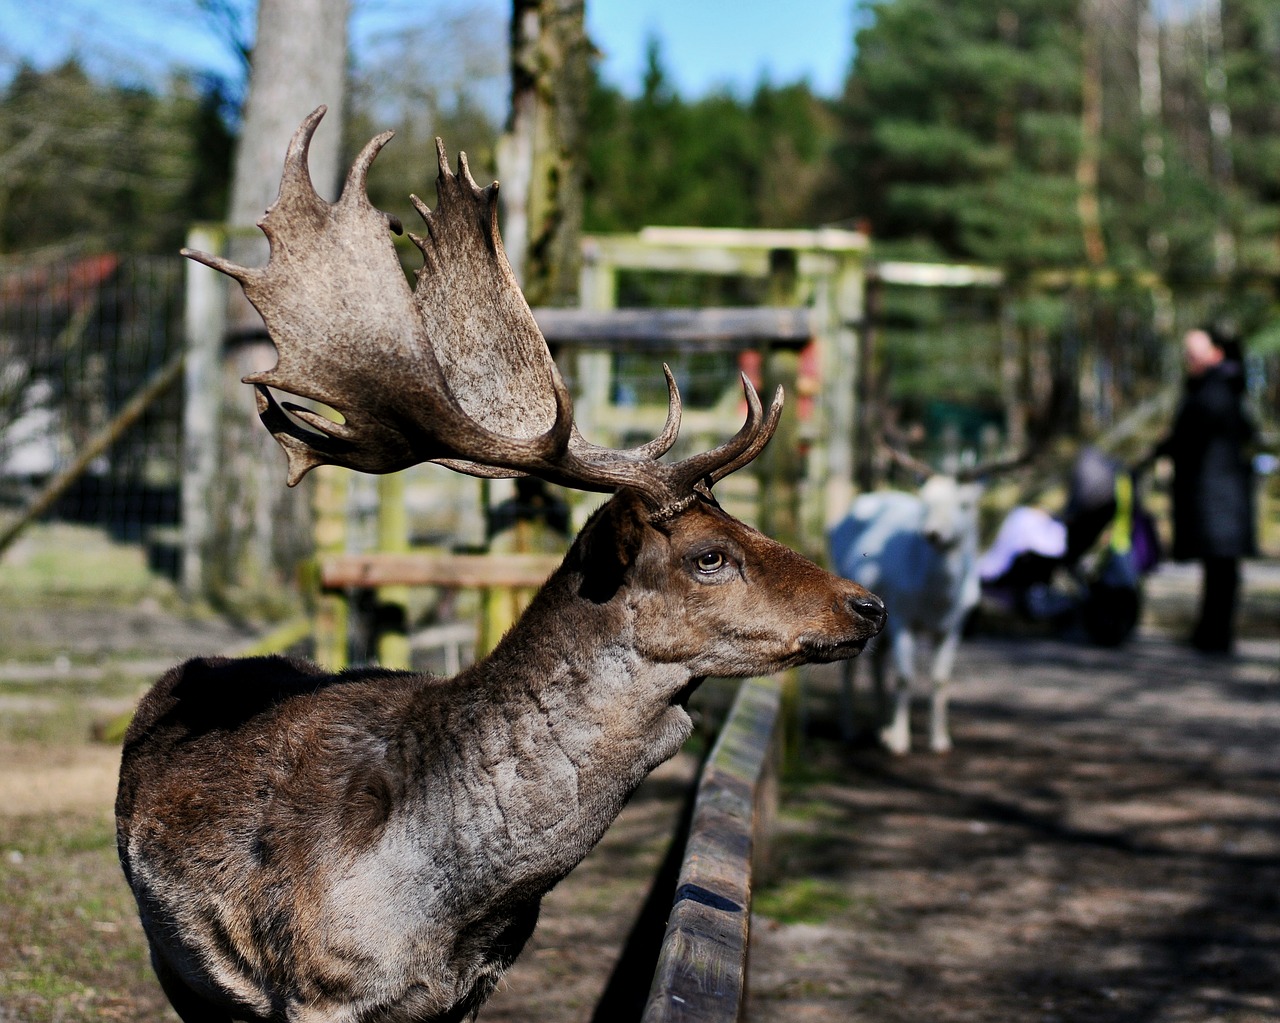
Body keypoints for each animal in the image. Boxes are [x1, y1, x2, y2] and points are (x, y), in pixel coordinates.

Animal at [115, 106, 885, 1023]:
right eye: (709, 554)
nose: (867, 604)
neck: (450, 911)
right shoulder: (313, 985)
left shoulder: (468, 993)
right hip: (175, 963)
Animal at [829, 476, 977, 757]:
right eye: (925, 503)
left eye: (963, 505)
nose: (933, 533)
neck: (938, 602)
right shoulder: (901, 616)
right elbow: (903, 676)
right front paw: (899, 742)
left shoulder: (955, 625)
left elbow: (941, 678)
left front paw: (940, 741)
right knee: (851, 666)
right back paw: (849, 730)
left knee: (877, 660)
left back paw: (881, 728)